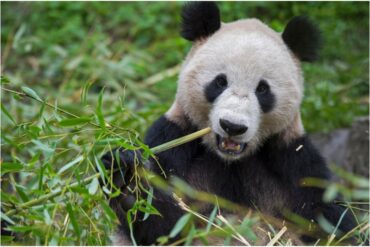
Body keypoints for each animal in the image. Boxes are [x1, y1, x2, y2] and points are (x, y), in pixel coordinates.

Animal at [101, 1, 356, 245]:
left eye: (262, 89)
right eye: (220, 82)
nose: (232, 126)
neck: (229, 160)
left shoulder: (293, 157)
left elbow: (330, 222)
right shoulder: (174, 139)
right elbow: (164, 228)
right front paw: (127, 182)